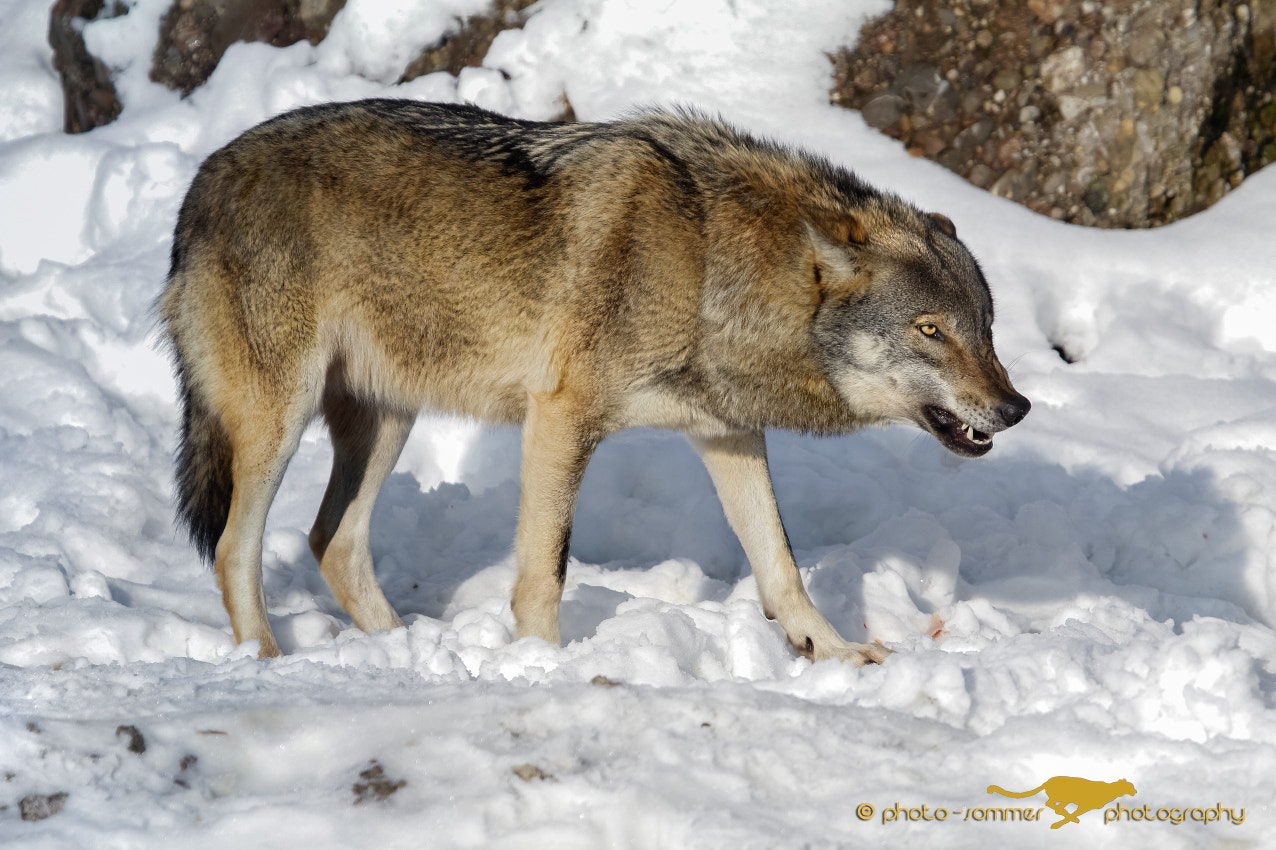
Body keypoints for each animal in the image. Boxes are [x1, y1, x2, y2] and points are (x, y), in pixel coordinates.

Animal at [159, 99, 1029, 663]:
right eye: (931, 331)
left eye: (986, 328)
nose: (1016, 407)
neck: (709, 263)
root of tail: (203, 179)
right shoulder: (561, 419)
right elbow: (544, 573)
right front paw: (545, 668)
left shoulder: (729, 434)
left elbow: (780, 565)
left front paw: (832, 651)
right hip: (282, 418)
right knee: (235, 546)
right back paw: (266, 660)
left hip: (387, 418)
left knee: (332, 542)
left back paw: (402, 650)